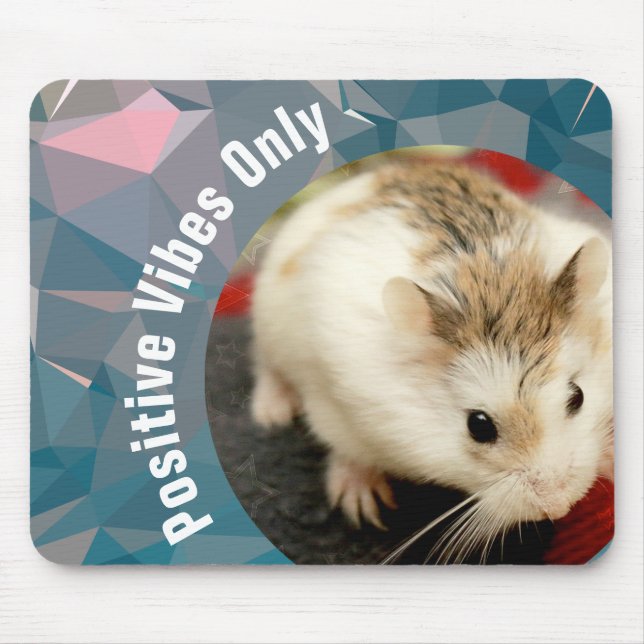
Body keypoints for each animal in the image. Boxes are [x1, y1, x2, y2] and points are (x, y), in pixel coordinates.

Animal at [250, 159, 613, 559]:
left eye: (577, 396)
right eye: (478, 426)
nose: (559, 507)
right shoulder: (334, 408)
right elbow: (348, 452)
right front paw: (364, 508)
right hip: (268, 321)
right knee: (267, 367)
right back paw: (271, 414)